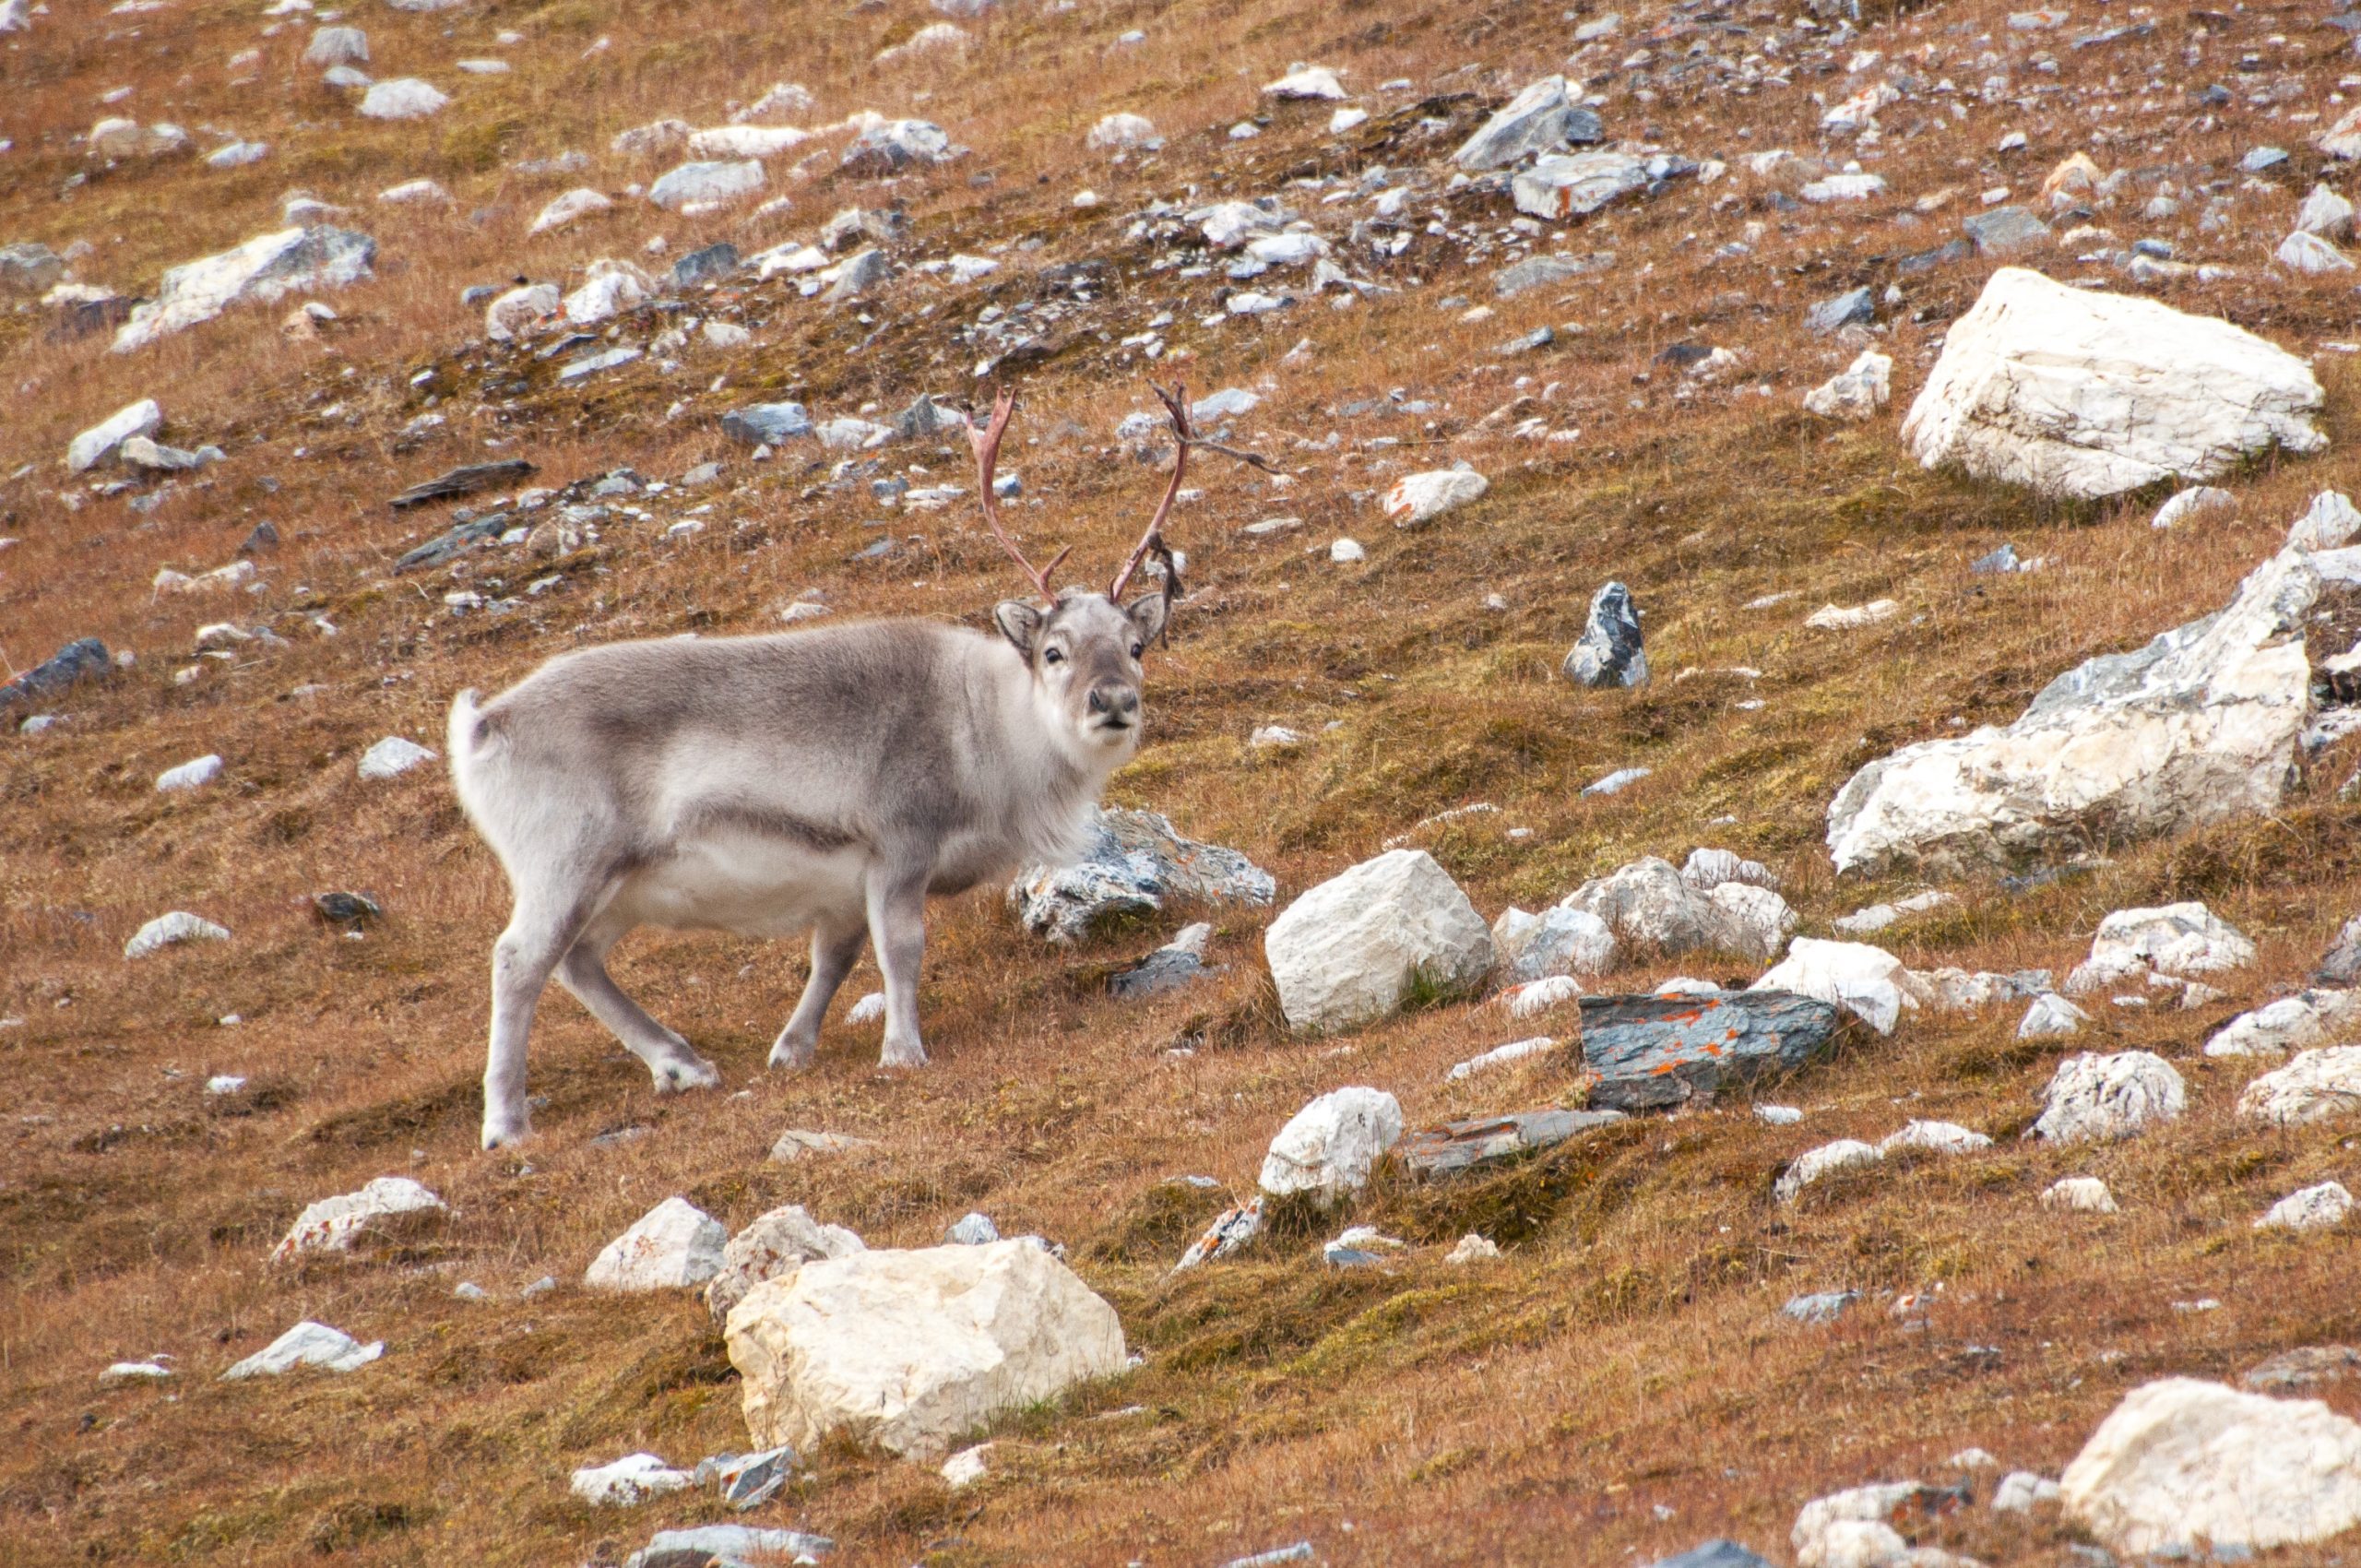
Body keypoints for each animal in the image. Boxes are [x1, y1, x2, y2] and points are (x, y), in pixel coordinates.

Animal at [446, 384, 1248, 1150]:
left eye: (1136, 646)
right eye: (1055, 651)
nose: (1113, 701)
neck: (987, 731)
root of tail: (483, 725)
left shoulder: (845, 881)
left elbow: (832, 961)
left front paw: (791, 1049)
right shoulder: (899, 845)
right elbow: (901, 952)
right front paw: (902, 1051)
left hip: (621, 884)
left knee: (578, 961)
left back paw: (683, 1063)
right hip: (566, 859)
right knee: (519, 960)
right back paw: (507, 1123)